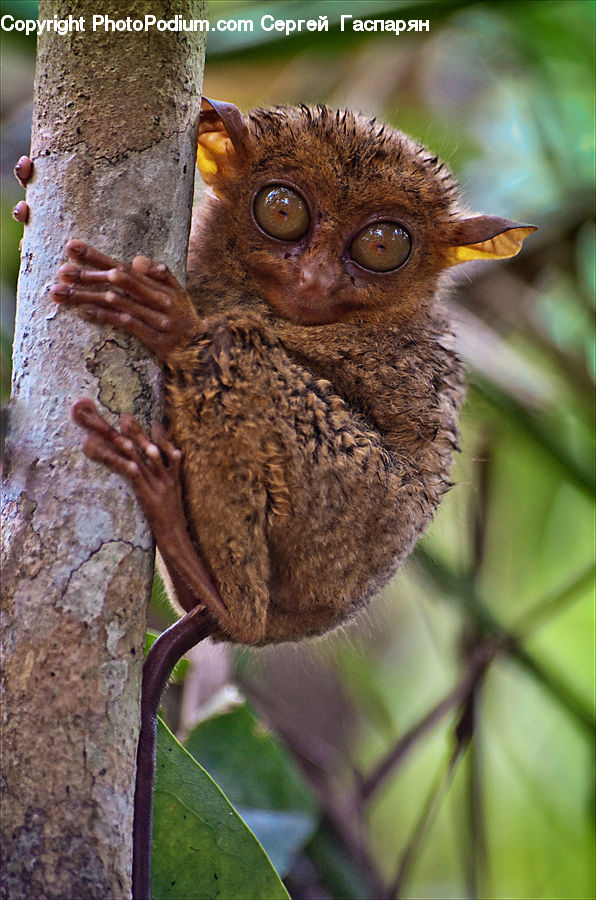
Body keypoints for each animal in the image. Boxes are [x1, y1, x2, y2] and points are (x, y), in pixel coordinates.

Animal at [15, 99, 535, 897]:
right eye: (282, 210)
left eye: (382, 245)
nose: (315, 278)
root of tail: (299, 623)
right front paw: (21, 190)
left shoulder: (382, 353)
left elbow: (255, 340)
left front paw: (175, 322)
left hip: (343, 507)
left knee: (239, 353)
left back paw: (213, 576)